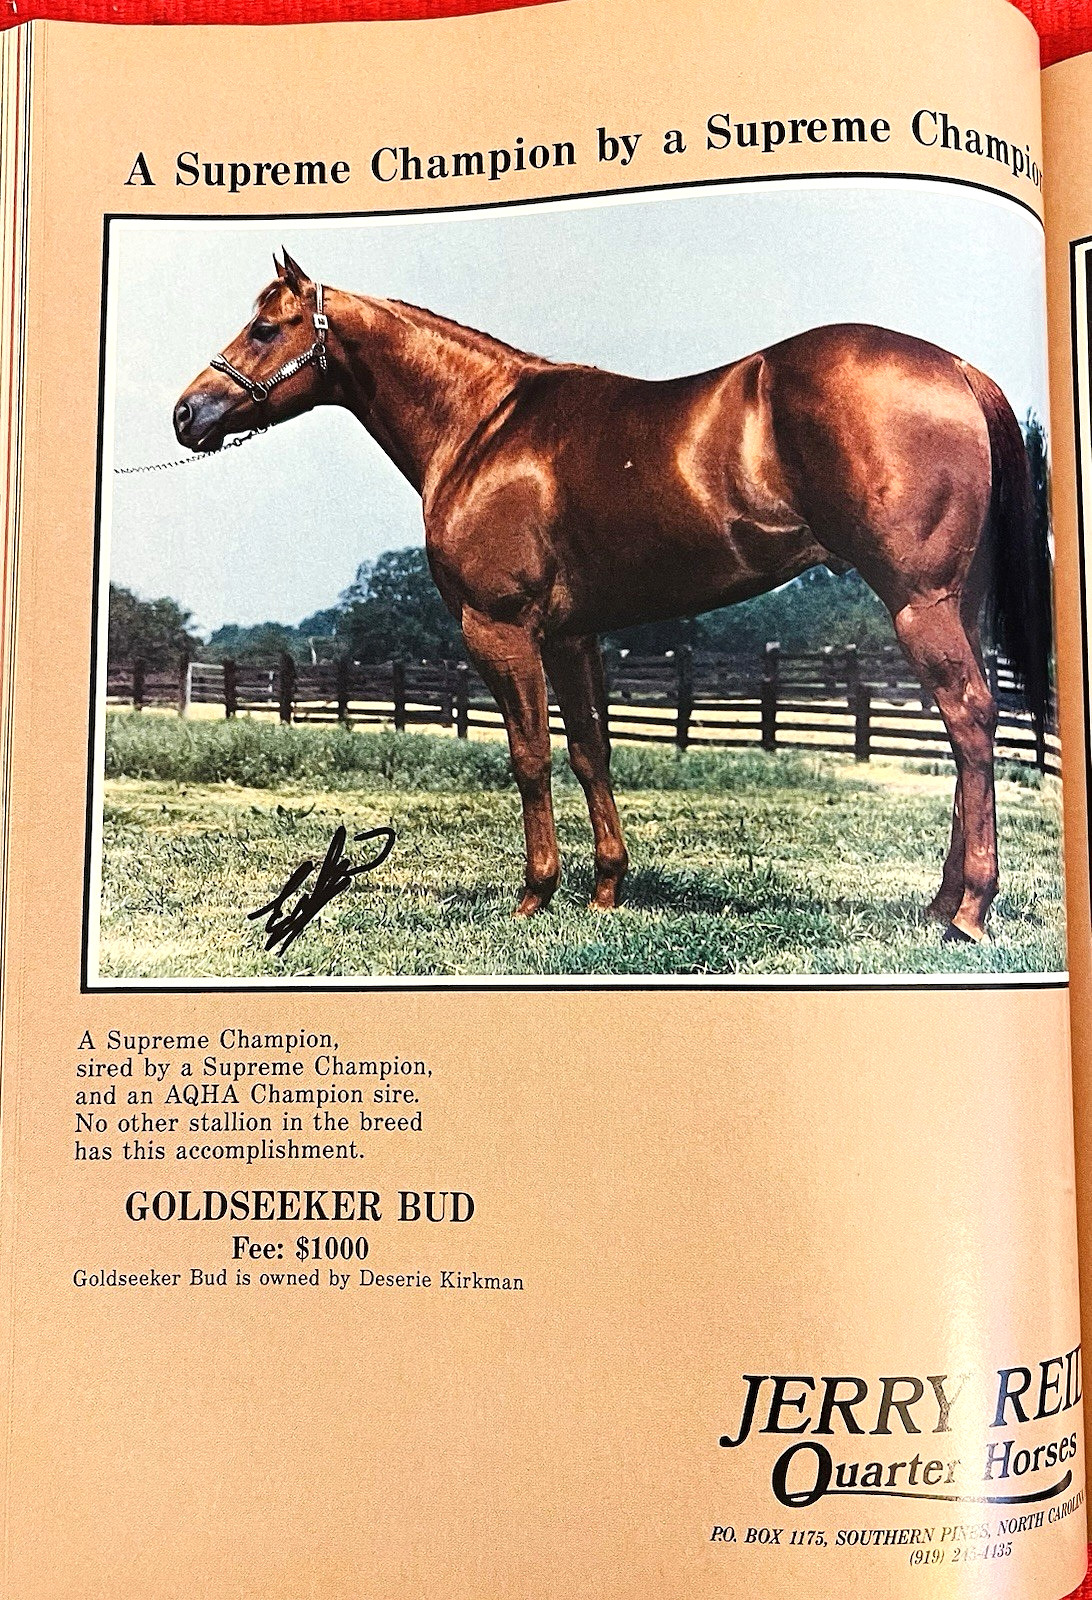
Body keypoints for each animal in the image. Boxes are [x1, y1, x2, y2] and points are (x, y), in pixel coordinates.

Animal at [173, 250, 1052, 942]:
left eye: (266, 328)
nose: (187, 413)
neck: (484, 427)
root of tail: (956, 369)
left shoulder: (500, 630)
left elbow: (529, 757)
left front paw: (535, 894)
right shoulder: (575, 635)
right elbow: (591, 751)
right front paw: (605, 889)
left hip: (920, 603)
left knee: (970, 724)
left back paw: (969, 912)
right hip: (958, 606)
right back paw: (939, 904)